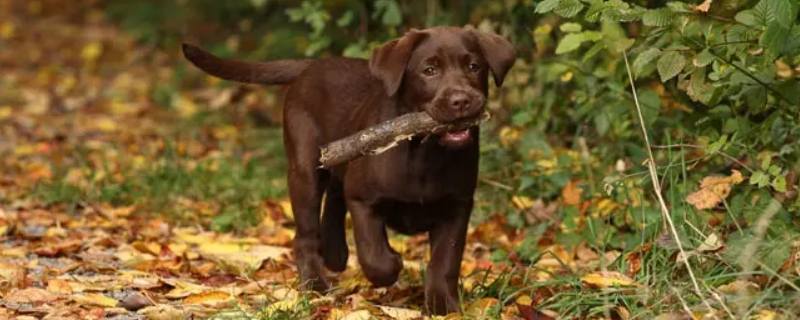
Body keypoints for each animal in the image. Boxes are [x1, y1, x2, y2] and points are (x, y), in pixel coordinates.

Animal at [183, 25, 512, 316]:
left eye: (473, 66)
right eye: (429, 70)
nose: (462, 101)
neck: (424, 153)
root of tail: (312, 65)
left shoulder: (457, 207)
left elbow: (445, 261)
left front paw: (443, 307)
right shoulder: (363, 200)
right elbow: (374, 255)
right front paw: (393, 264)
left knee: (333, 198)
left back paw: (335, 253)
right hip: (305, 167)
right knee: (305, 234)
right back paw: (315, 284)